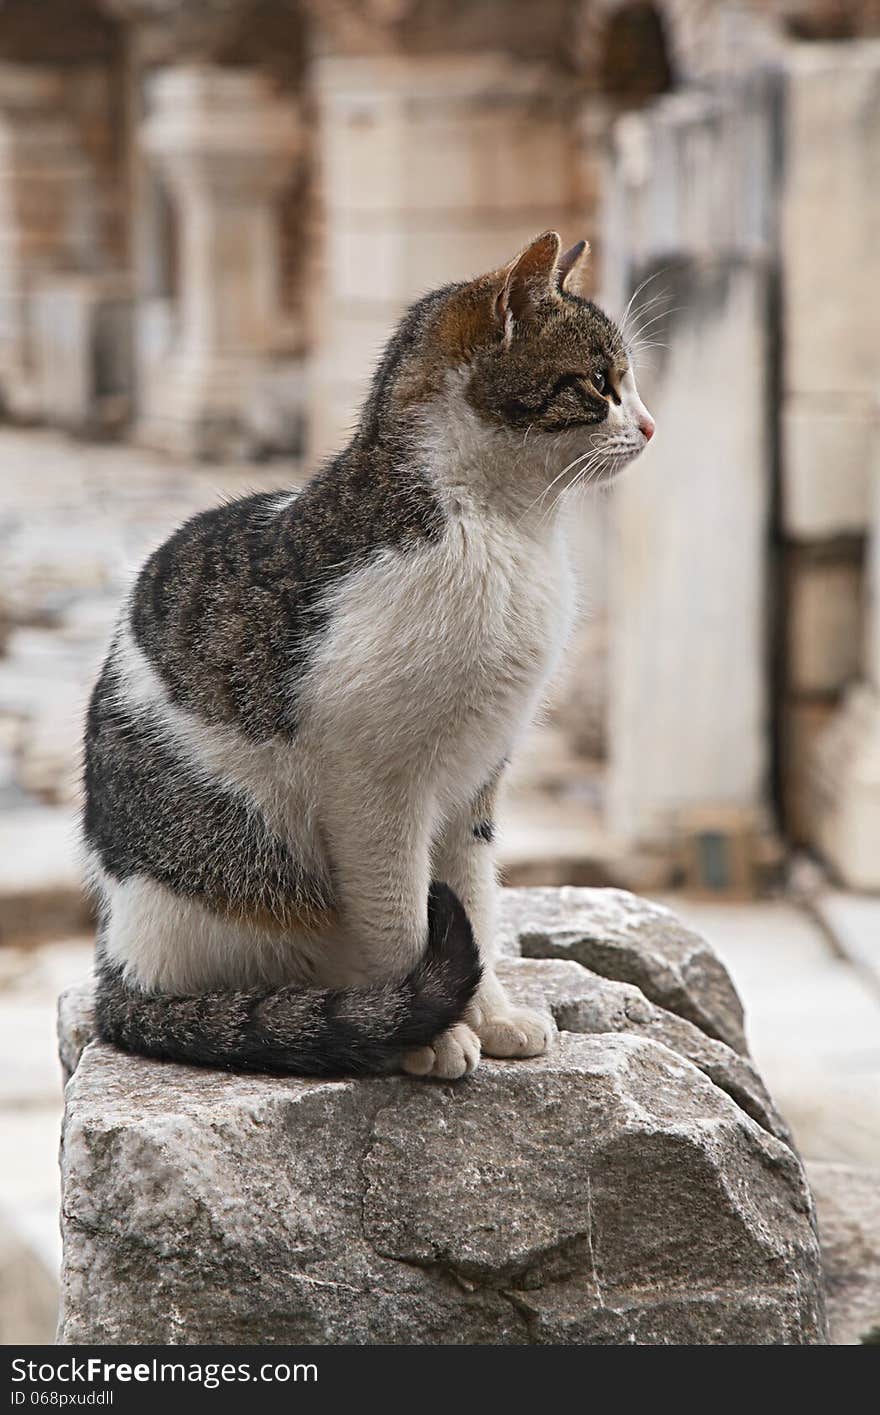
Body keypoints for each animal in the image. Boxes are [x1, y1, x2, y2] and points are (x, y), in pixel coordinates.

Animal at [82, 226, 656, 1075]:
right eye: (600, 382)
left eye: (629, 382)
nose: (649, 425)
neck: (504, 525)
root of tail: (118, 963)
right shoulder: (376, 790)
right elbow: (403, 920)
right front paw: (433, 1032)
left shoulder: (477, 775)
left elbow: (474, 902)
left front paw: (492, 1015)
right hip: (241, 865)